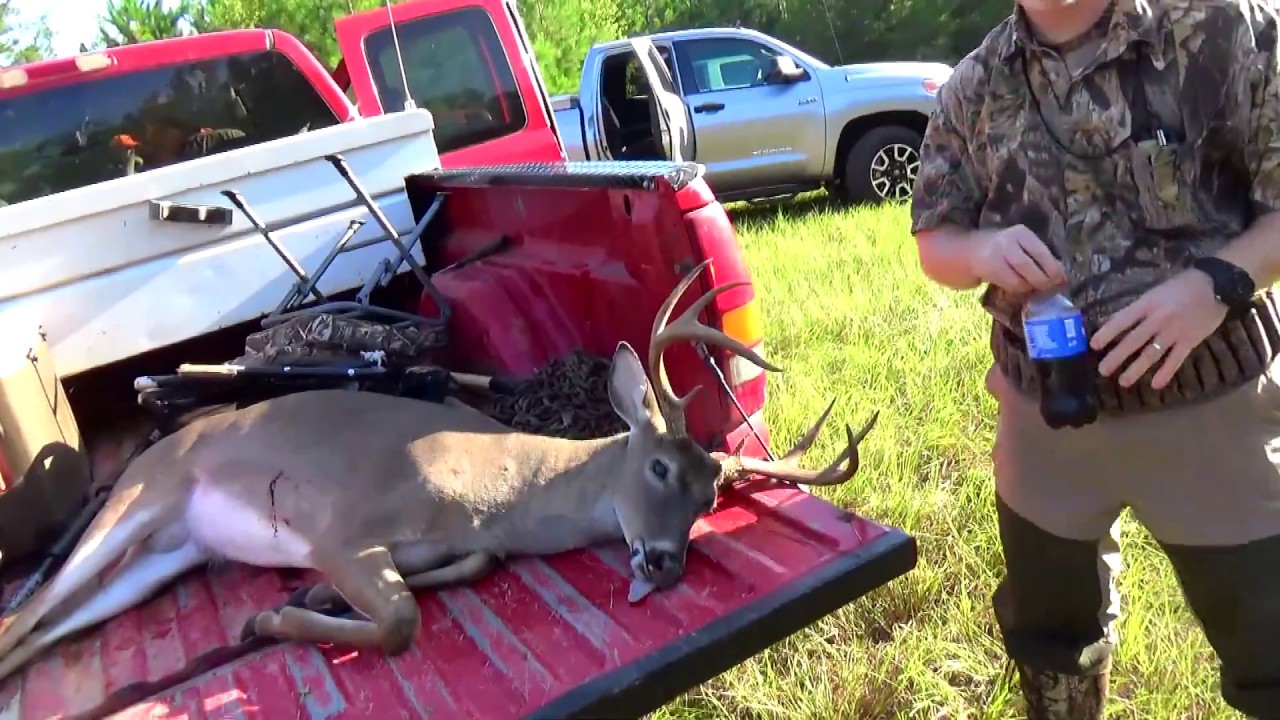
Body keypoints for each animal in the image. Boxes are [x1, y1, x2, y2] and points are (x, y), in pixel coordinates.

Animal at [0, 259, 878, 684]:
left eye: (710, 496)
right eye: (661, 467)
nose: (664, 563)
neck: (496, 486)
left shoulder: (446, 544)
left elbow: (464, 571)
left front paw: (303, 602)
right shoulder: (342, 528)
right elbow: (398, 622)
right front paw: (269, 619)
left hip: (165, 553)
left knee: (43, 627)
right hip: (144, 497)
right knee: (25, 613)